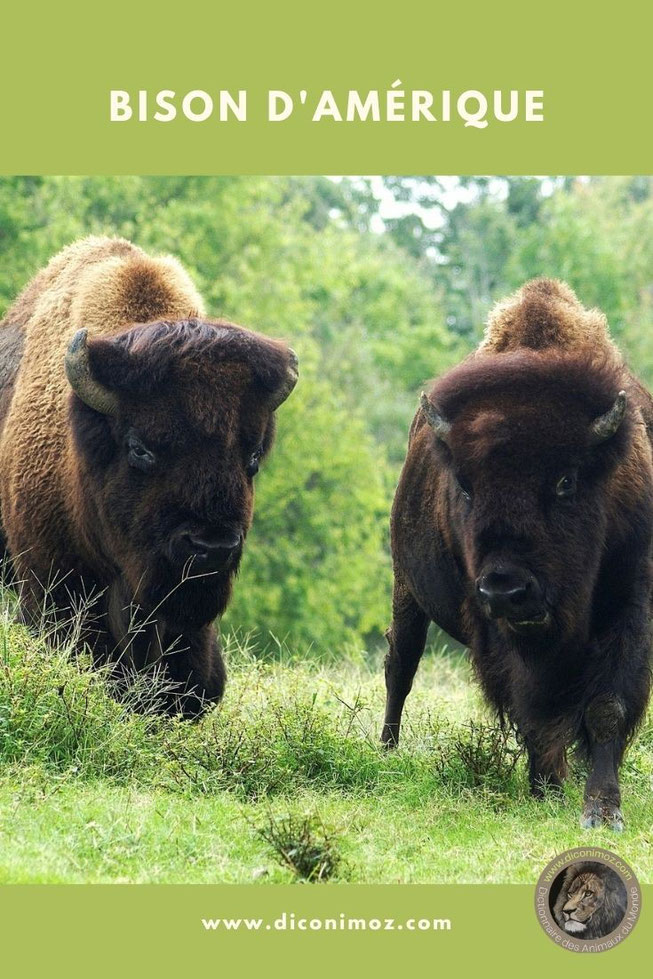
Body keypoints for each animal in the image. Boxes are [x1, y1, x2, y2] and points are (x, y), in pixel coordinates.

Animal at [382, 280, 652, 832]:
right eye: (465, 486)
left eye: (566, 481)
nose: (506, 589)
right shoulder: (494, 632)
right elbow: (533, 712)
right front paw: (545, 786)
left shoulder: (632, 605)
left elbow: (607, 707)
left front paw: (602, 809)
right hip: (406, 588)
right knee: (401, 662)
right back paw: (386, 750)